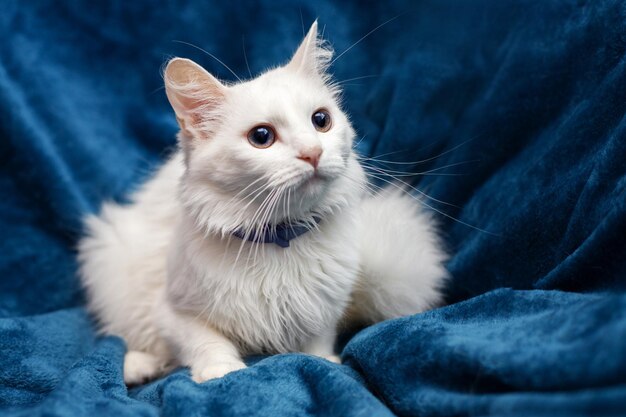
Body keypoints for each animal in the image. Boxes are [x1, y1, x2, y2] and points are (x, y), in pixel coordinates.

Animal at [78, 20, 446, 384]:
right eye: (261, 137)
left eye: (321, 121)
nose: (313, 152)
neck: (278, 237)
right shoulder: (171, 310)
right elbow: (205, 340)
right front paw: (221, 371)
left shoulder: (326, 305)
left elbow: (317, 340)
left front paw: (323, 360)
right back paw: (139, 367)